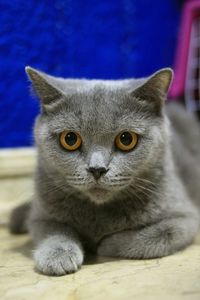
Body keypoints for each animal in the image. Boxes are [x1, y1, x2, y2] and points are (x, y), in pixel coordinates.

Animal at [9, 67, 200, 276]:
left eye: (126, 139)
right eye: (70, 139)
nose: (97, 169)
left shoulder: (185, 218)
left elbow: (157, 235)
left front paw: (105, 244)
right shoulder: (42, 215)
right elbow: (53, 230)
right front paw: (58, 256)